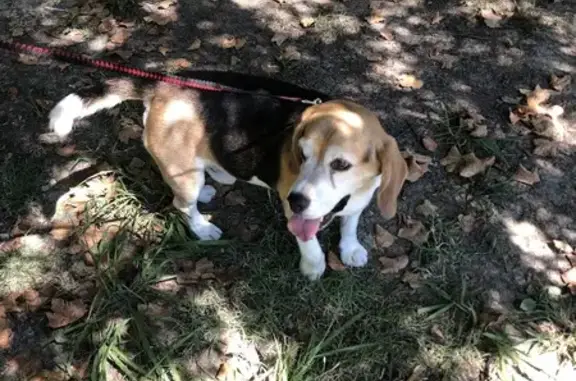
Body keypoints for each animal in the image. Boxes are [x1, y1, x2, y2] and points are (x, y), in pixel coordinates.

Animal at [47, 70, 408, 280]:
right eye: (301, 155)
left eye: (341, 165)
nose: (296, 200)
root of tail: (162, 85)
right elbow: (310, 244)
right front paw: (314, 267)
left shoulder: (358, 201)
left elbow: (350, 223)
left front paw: (349, 248)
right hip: (185, 175)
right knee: (182, 204)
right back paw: (202, 226)